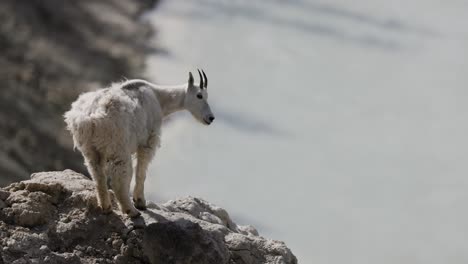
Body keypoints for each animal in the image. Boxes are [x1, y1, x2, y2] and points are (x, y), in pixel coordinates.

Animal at [64, 70, 214, 217]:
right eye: (199, 95)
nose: (210, 118)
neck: (159, 98)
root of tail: (90, 118)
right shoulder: (148, 141)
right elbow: (141, 172)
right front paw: (140, 201)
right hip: (118, 148)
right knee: (119, 180)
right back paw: (131, 210)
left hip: (90, 149)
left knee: (98, 175)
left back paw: (106, 207)